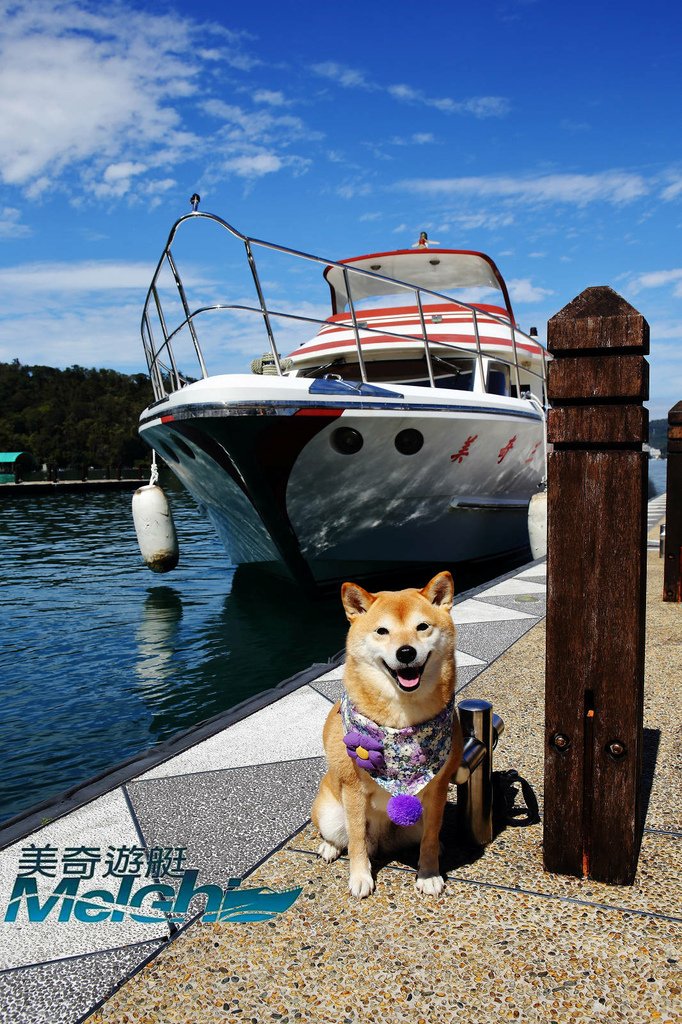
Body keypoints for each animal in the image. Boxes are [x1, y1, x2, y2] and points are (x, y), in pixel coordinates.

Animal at [309, 573, 462, 901]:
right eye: (382, 631)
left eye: (422, 626)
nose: (406, 652)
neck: (401, 722)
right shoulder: (353, 789)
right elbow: (355, 839)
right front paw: (359, 877)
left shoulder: (438, 789)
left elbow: (431, 838)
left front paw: (429, 874)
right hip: (330, 813)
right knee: (342, 837)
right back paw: (329, 847)